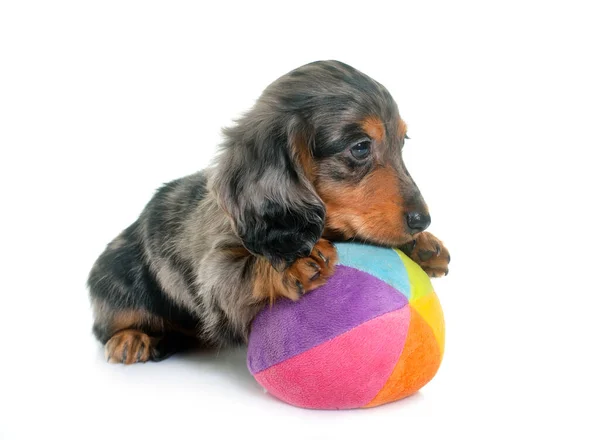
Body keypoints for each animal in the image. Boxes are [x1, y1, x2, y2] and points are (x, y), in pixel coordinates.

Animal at [89, 62, 450, 364]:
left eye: (402, 142)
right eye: (360, 147)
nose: (422, 220)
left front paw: (421, 245)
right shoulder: (215, 273)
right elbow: (242, 268)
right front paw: (293, 262)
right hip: (117, 282)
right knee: (105, 326)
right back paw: (131, 338)